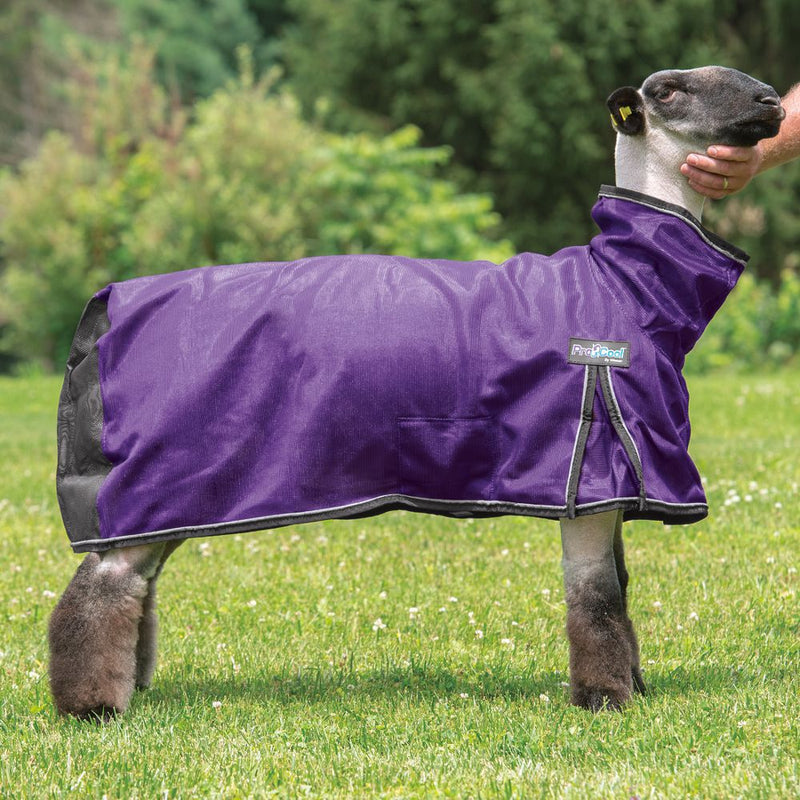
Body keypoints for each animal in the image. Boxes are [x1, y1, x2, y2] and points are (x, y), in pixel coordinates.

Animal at [49, 66, 784, 718]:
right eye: (670, 90)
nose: (774, 102)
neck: (625, 283)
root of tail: (106, 309)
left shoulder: (615, 480)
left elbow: (621, 592)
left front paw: (634, 687)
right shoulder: (590, 468)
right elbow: (597, 599)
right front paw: (606, 701)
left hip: (176, 495)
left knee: (137, 582)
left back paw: (131, 685)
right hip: (159, 476)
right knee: (102, 587)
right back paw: (90, 707)